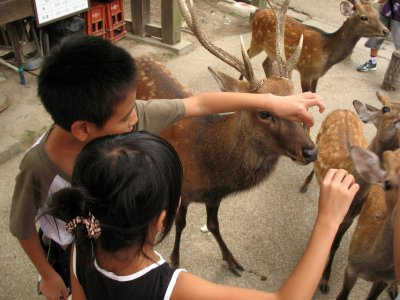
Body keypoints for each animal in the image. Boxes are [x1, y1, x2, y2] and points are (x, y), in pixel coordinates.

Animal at [142, 0, 318, 276]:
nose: (310, 151)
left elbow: (213, 224)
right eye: (264, 112)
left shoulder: (214, 197)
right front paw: (175, 260)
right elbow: (181, 223)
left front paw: (232, 261)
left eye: (297, 100)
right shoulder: (186, 188)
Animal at [245, 0, 390, 92]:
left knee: (265, 63)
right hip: (257, 40)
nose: (386, 31)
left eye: (377, 14)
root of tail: (258, 11)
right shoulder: (306, 72)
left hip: (272, 51)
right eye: (364, 17)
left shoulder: (317, 76)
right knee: (247, 53)